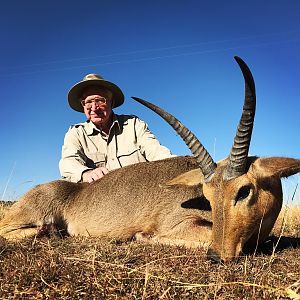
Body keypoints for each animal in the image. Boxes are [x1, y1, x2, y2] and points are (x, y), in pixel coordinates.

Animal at [0, 56, 300, 262]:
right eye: (207, 196)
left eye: (243, 190)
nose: (216, 256)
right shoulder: (180, 225)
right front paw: (144, 237)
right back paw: (48, 232)